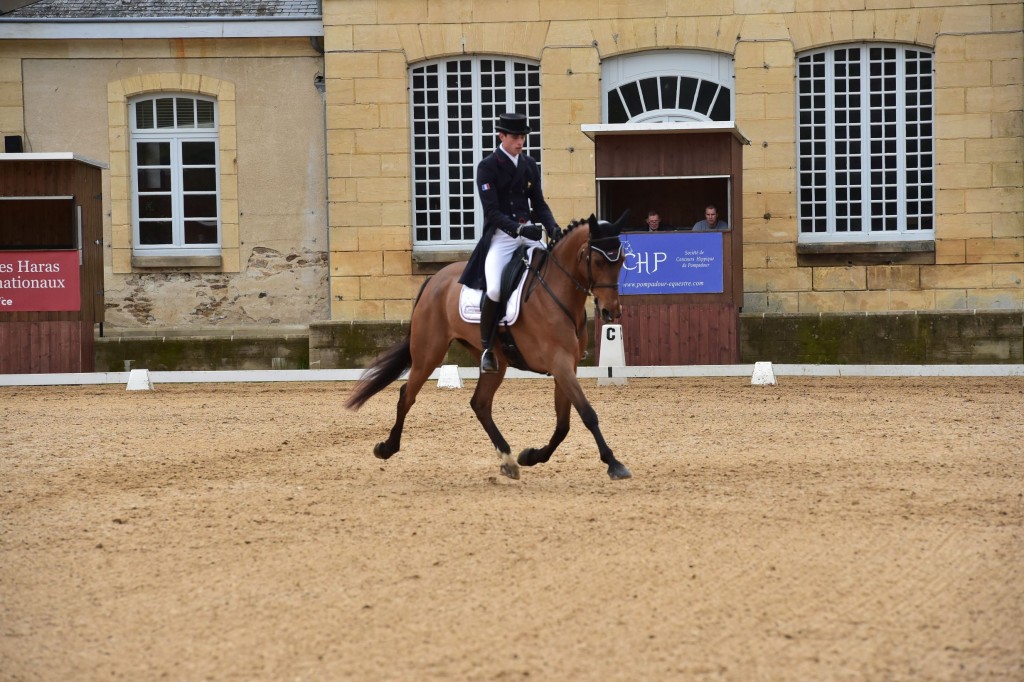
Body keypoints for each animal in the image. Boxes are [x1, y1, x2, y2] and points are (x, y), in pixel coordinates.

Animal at [346, 210, 630, 477]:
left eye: (622, 260)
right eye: (598, 261)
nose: (611, 312)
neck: (556, 292)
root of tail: (435, 278)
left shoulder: (567, 366)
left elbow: (563, 424)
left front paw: (532, 456)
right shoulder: (559, 364)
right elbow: (587, 414)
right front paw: (614, 463)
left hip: (495, 361)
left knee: (480, 403)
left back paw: (508, 458)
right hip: (429, 353)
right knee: (407, 395)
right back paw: (387, 447)